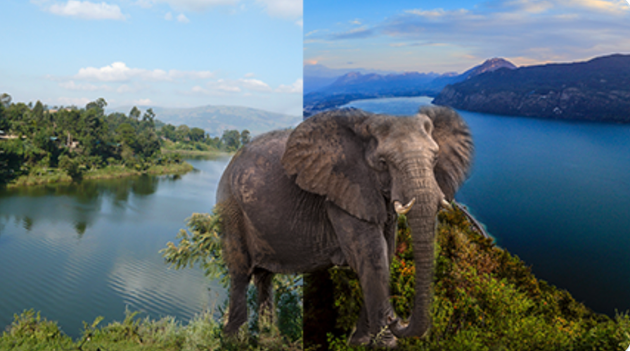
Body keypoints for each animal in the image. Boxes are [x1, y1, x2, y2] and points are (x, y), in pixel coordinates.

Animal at [217, 106, 474, 348]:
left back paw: (269, 339)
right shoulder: (343, 191)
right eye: (383, 163)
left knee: (264, 277)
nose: (395, 320)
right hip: (230, 207)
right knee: (240, 272)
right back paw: (233, 341)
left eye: (435, 159)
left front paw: (360, 342)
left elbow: (386, 253)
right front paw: (386, 344)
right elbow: (372, 256)